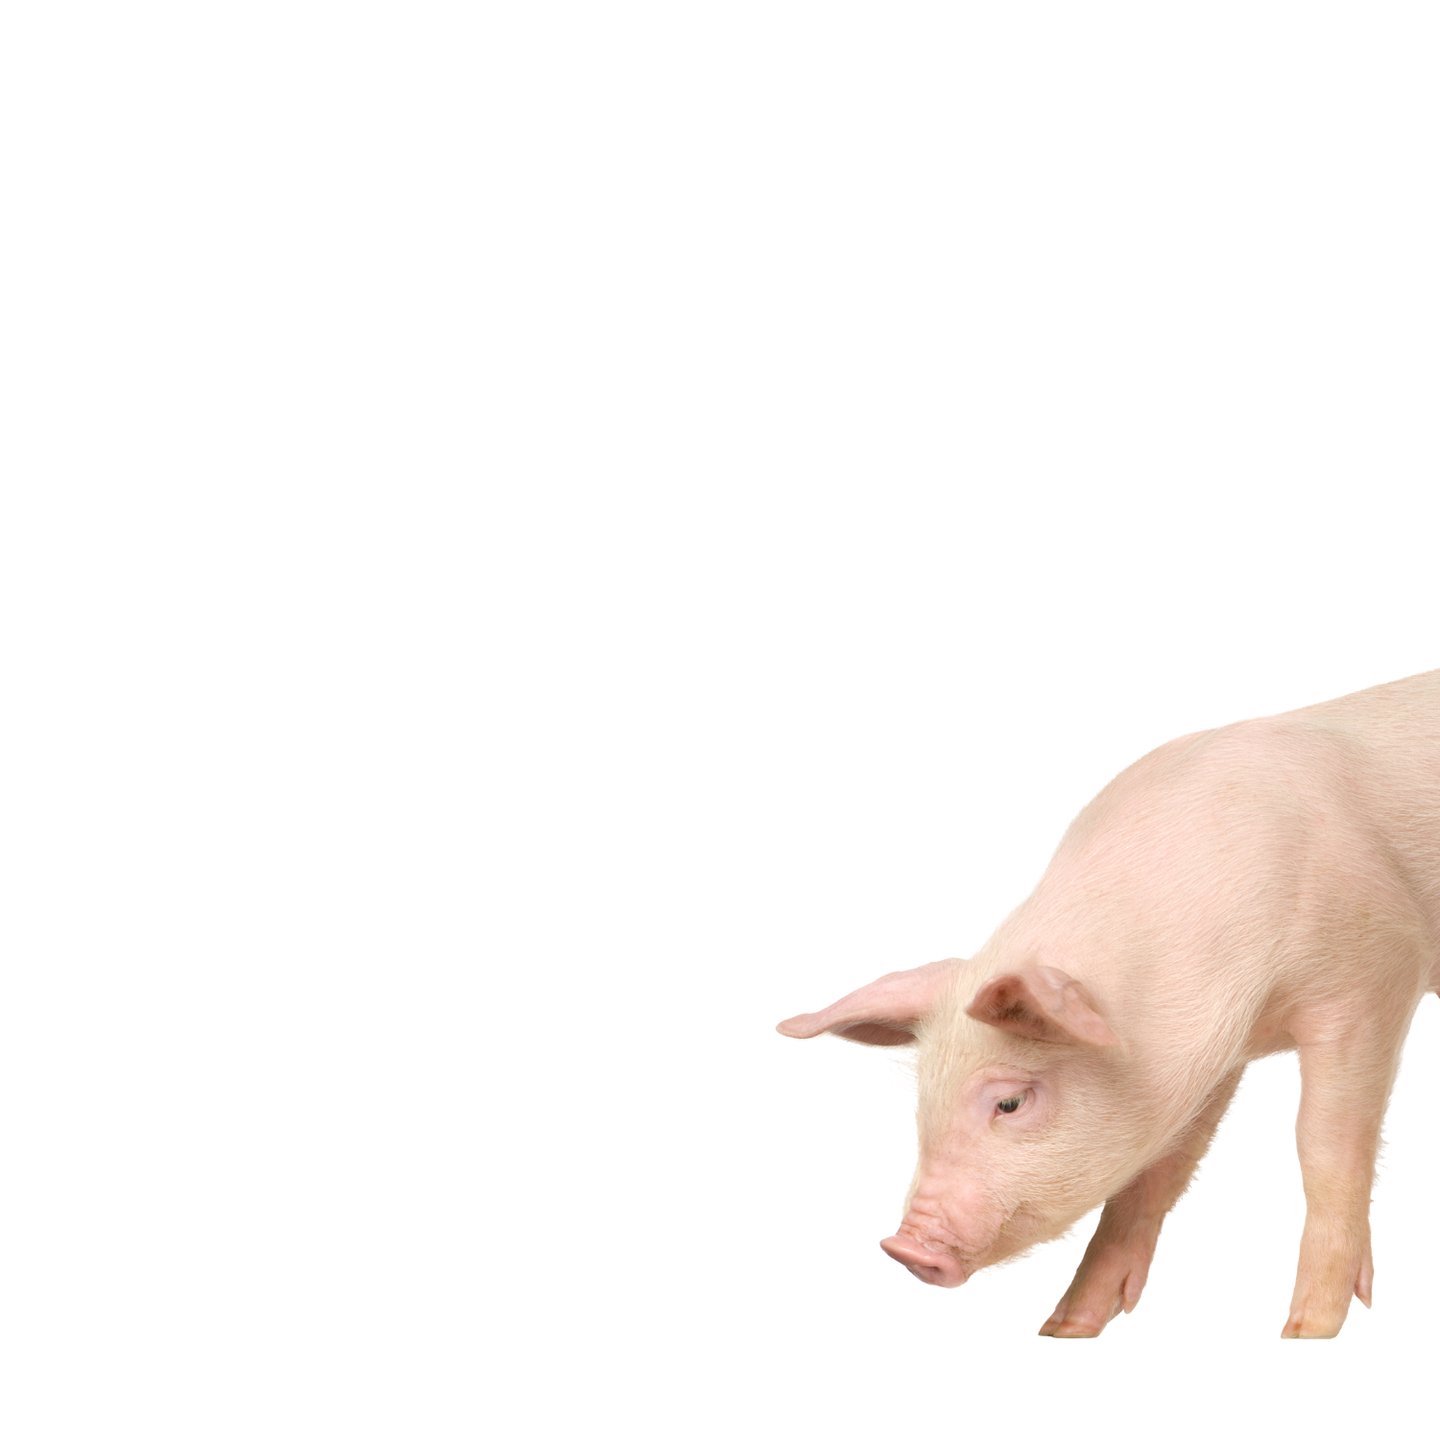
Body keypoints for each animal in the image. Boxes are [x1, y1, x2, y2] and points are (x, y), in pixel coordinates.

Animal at [778, 670, 1440, 1337]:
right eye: (923, 1105)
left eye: (1010, 1102)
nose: (903, 1248)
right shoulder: (1206, 1061)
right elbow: (1157, 1173)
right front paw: (1064, 1328)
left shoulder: (1371, 977)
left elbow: (1324, 1147)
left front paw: (1306, 1329)